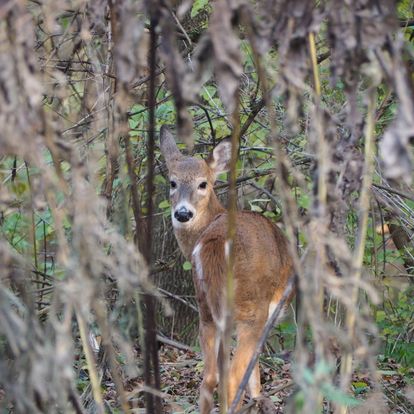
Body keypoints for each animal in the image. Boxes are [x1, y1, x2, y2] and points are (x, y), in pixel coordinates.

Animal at [159, 127, 294, 414]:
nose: (183, 213)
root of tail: (218, 241)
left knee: (209, 377)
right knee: (231, 375)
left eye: (203, 183)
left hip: (206, 307)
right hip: (249, 308)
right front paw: (259, 397)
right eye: (173, 182)